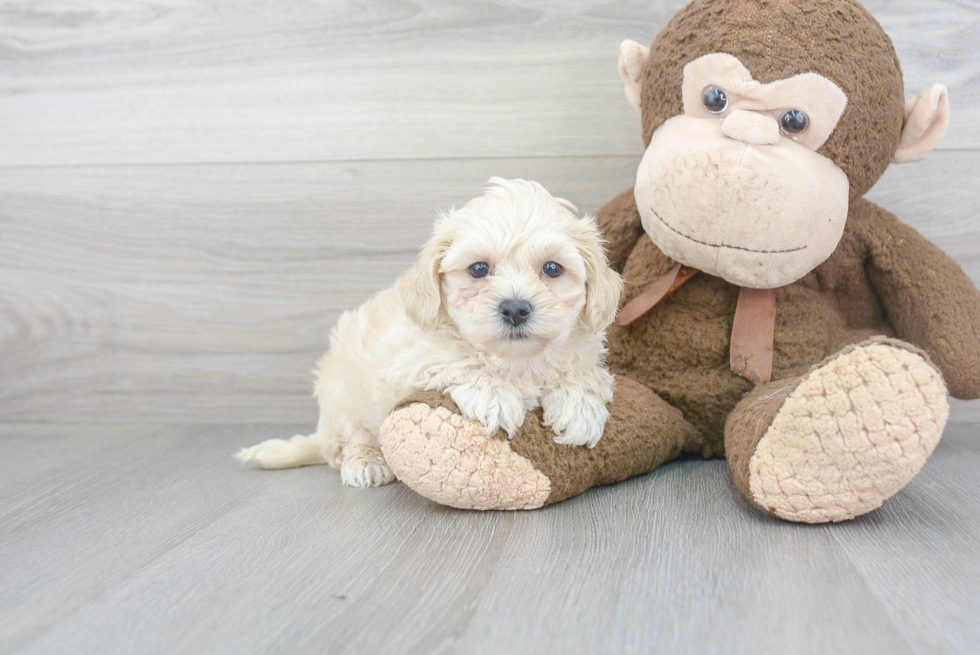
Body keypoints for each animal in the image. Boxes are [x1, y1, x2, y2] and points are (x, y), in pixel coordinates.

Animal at [235, 179, 620, 486]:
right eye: (478, 269)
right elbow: (457, 360)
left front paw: (578, 406)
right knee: (351, 439)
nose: (514, 308)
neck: (517, 360)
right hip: (341, 392)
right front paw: (495, 396)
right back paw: (366, 462)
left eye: (552, 269)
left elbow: (583, 372)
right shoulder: (407, 360)